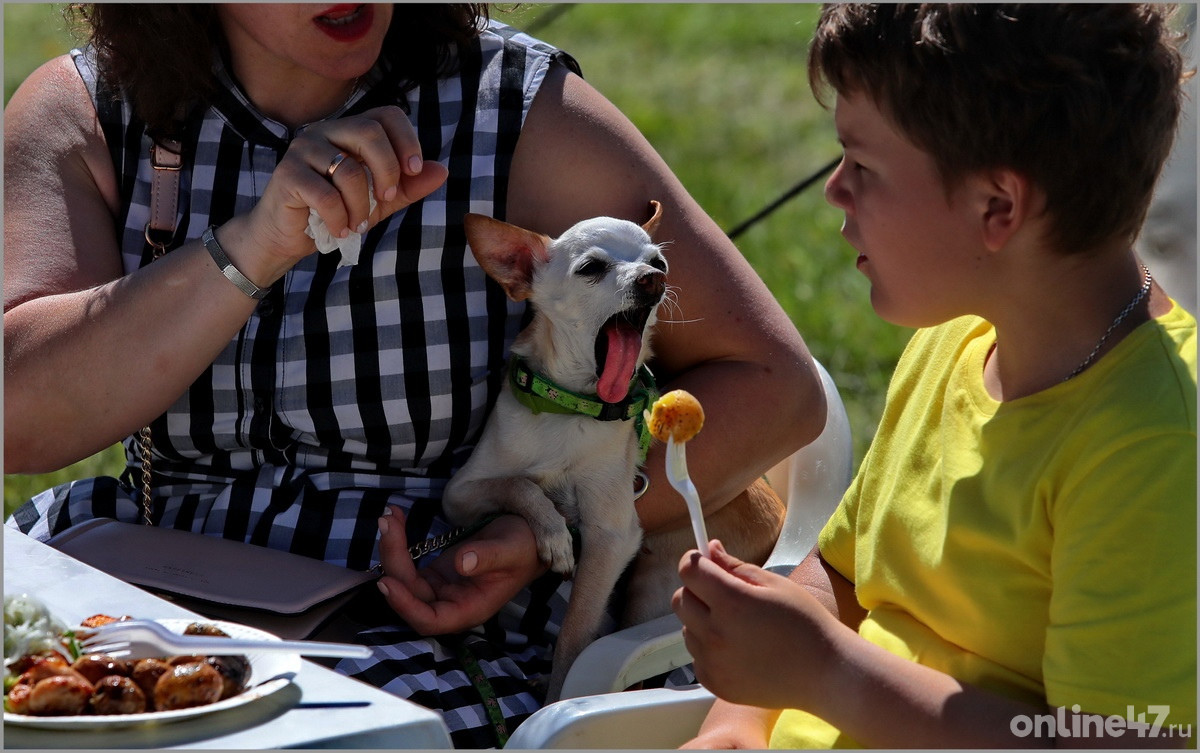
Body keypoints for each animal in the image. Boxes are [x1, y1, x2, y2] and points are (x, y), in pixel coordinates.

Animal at [441, 202, 787, 705]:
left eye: (659, 263)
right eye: (591, 268)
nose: (652, 280)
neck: (569, 409)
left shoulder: (611, 537)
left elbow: (574, 635)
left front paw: (557, 698)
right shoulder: (460, 494)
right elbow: (519, 483)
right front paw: (551, 529)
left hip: (656, 589)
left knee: (639, 673)